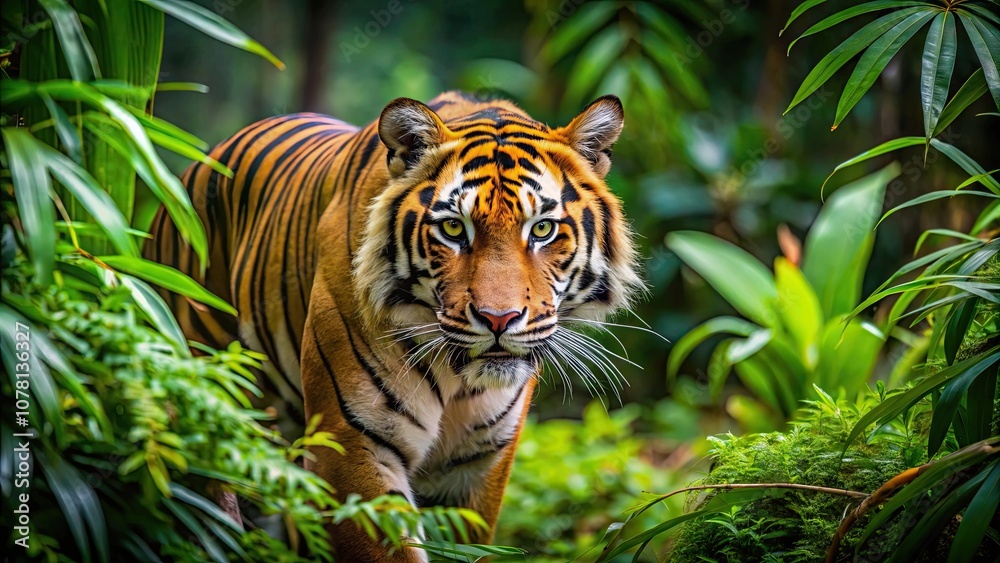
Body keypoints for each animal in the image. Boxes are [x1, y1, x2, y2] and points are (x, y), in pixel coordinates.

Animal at [145, 91, 642, 561]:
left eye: (541, 229)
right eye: (453, 230)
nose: (498, 319)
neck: (459, 378)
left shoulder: (479, 463)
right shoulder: (352, 444)